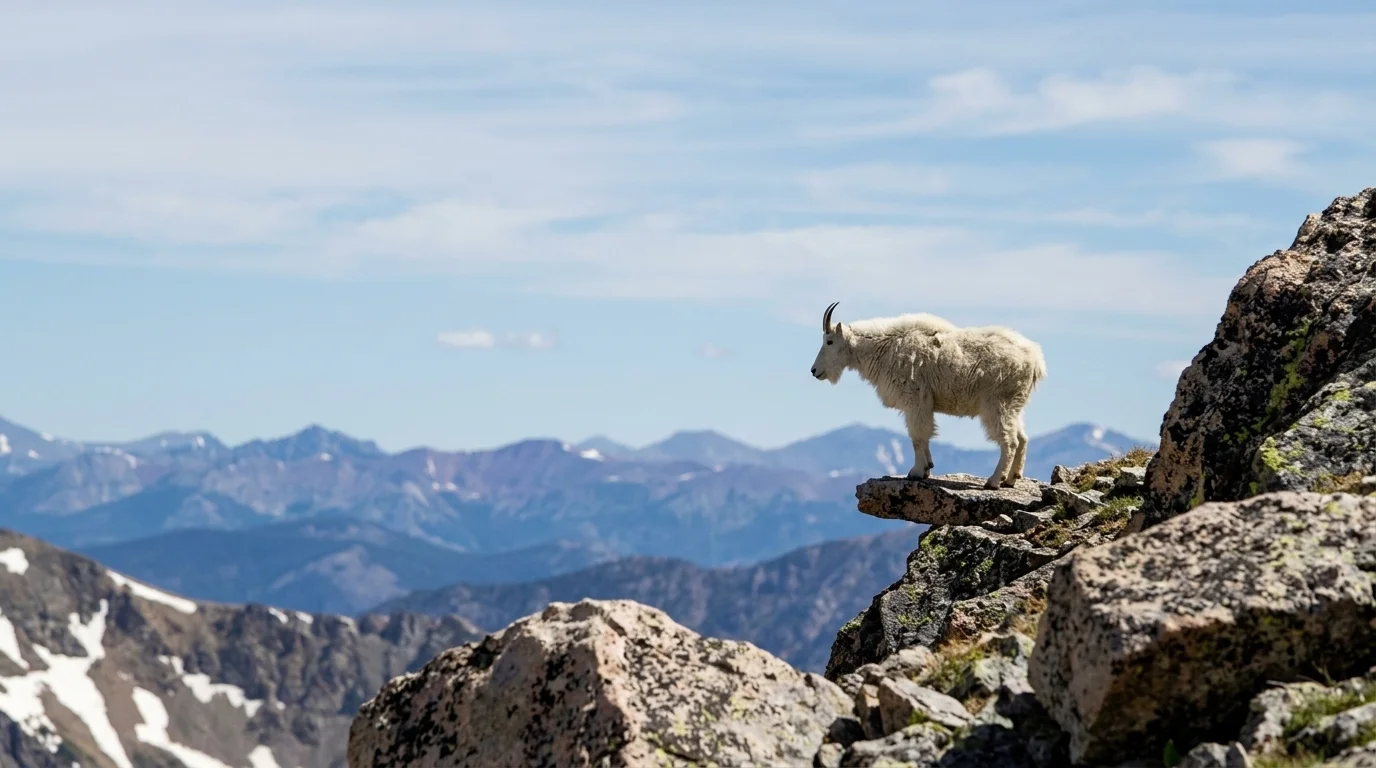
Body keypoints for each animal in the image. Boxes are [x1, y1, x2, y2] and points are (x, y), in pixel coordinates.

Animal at [809, 302, 1047, 489]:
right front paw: (927, 468)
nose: (814, 371)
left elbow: (917, 436)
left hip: (997, 403)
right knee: (1022, 438)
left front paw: (915, 472)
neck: (882, 347)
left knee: (1010, 441)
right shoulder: (923, 405)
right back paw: (1012, 479)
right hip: (1014, 404)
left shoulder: (915, 399)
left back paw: (994, 481)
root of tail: (1036, 360)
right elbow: (924, 435)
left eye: (829, 342)